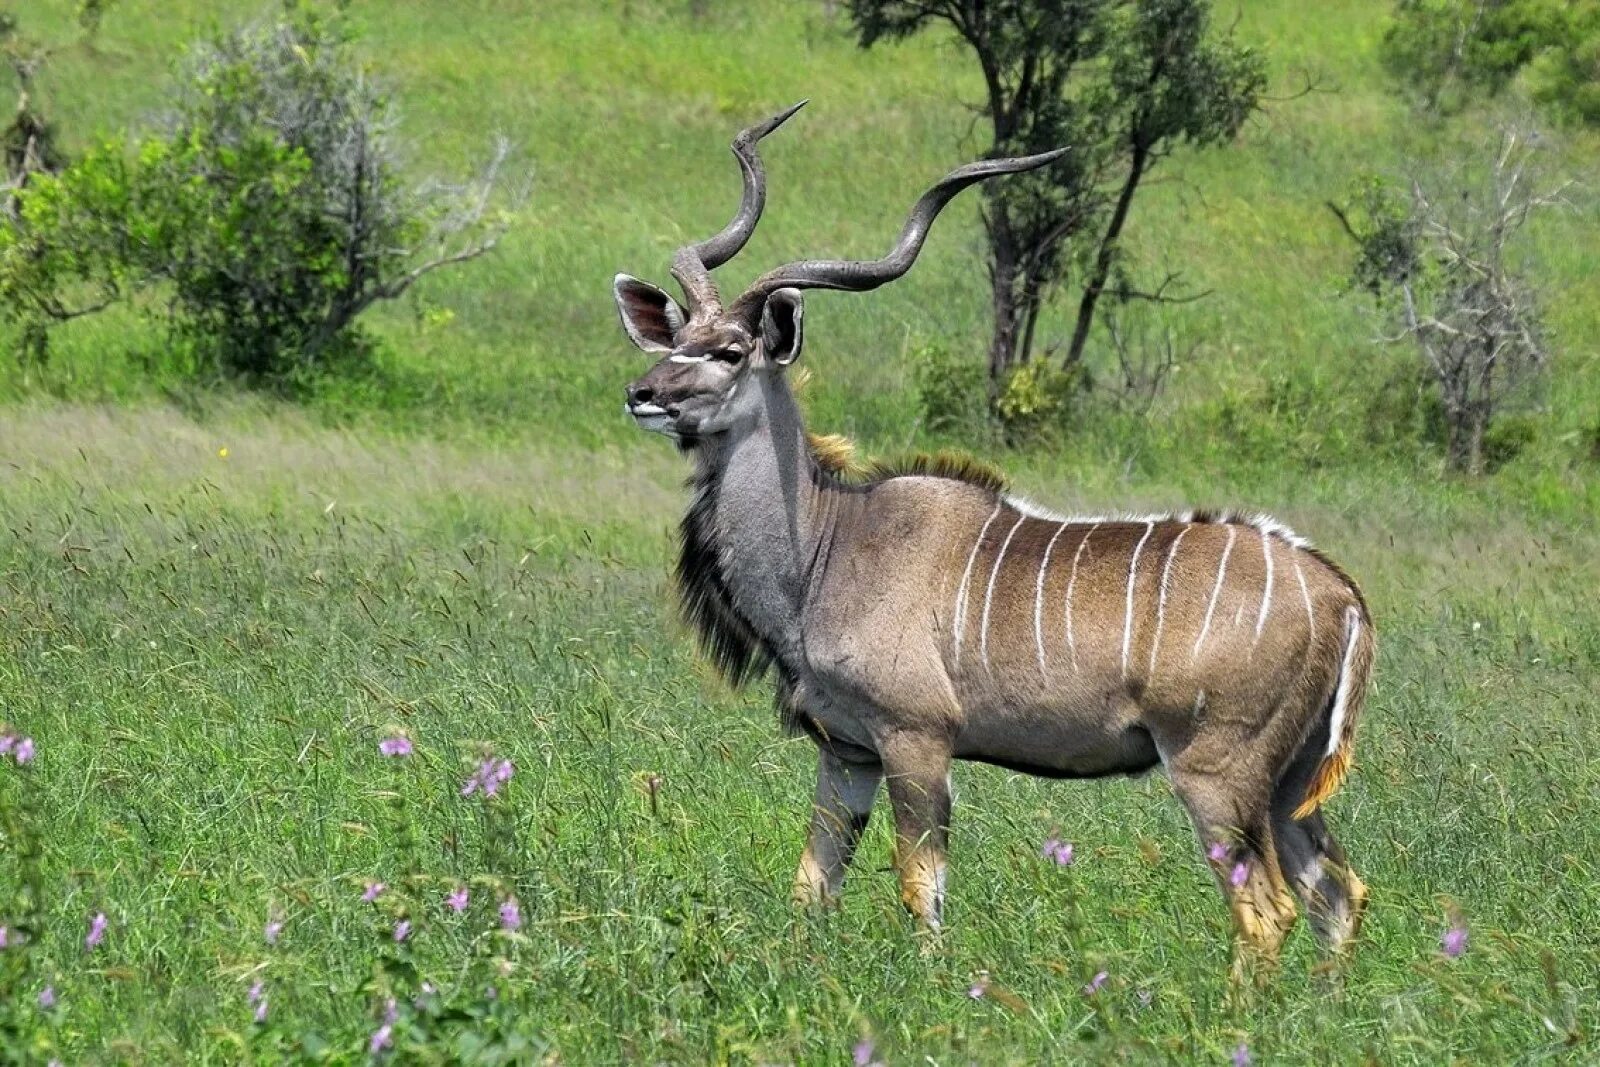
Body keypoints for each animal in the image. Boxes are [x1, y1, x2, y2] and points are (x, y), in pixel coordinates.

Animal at [611, 103, 1376, 972]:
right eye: (673, 340)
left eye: (731, 351)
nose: (643, 393)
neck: (827, 547)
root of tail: (1341, 595)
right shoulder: (846, 752)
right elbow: (814, 884)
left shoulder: (916, 740)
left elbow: (920, 889)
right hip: (1288, 786)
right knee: (1339, 894)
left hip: (1217, 773)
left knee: (1268, 911)